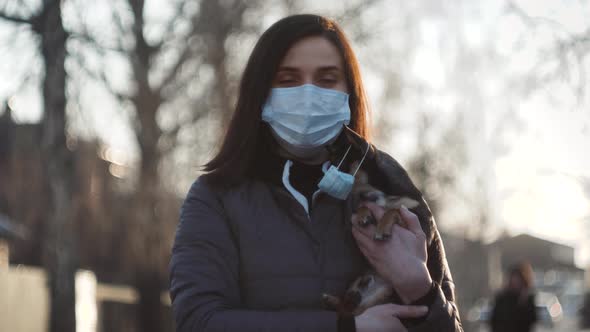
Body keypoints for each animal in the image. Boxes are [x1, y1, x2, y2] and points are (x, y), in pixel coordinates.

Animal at [324, 162, 420, 316]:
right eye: (357, 198)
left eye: (368, 186)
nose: (364, 195)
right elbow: (377, 210)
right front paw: (363, 215)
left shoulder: (406, 225)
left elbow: (393, 211)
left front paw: (382, 227)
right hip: (360, 282)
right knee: (349, 309)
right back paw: (343, 298)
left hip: (383, 293)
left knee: (353, 309)